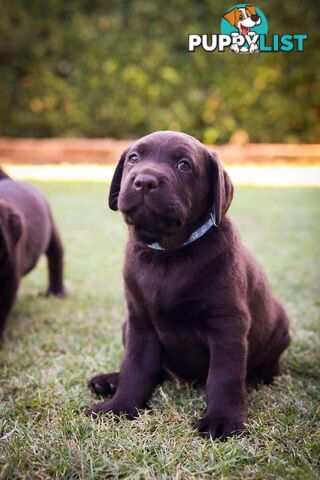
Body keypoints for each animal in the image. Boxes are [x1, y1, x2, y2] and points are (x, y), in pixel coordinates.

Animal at [87, 131, 290, 438]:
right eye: (134, 158)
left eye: (184, 165)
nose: (144, 181)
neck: (167, 255)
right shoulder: (140, 322)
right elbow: (135, 368)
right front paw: (118, 407)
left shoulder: (227, 323)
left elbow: (224, 376)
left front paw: (223, 420)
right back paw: (109, 381)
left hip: (280, 327)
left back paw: (252, 380)